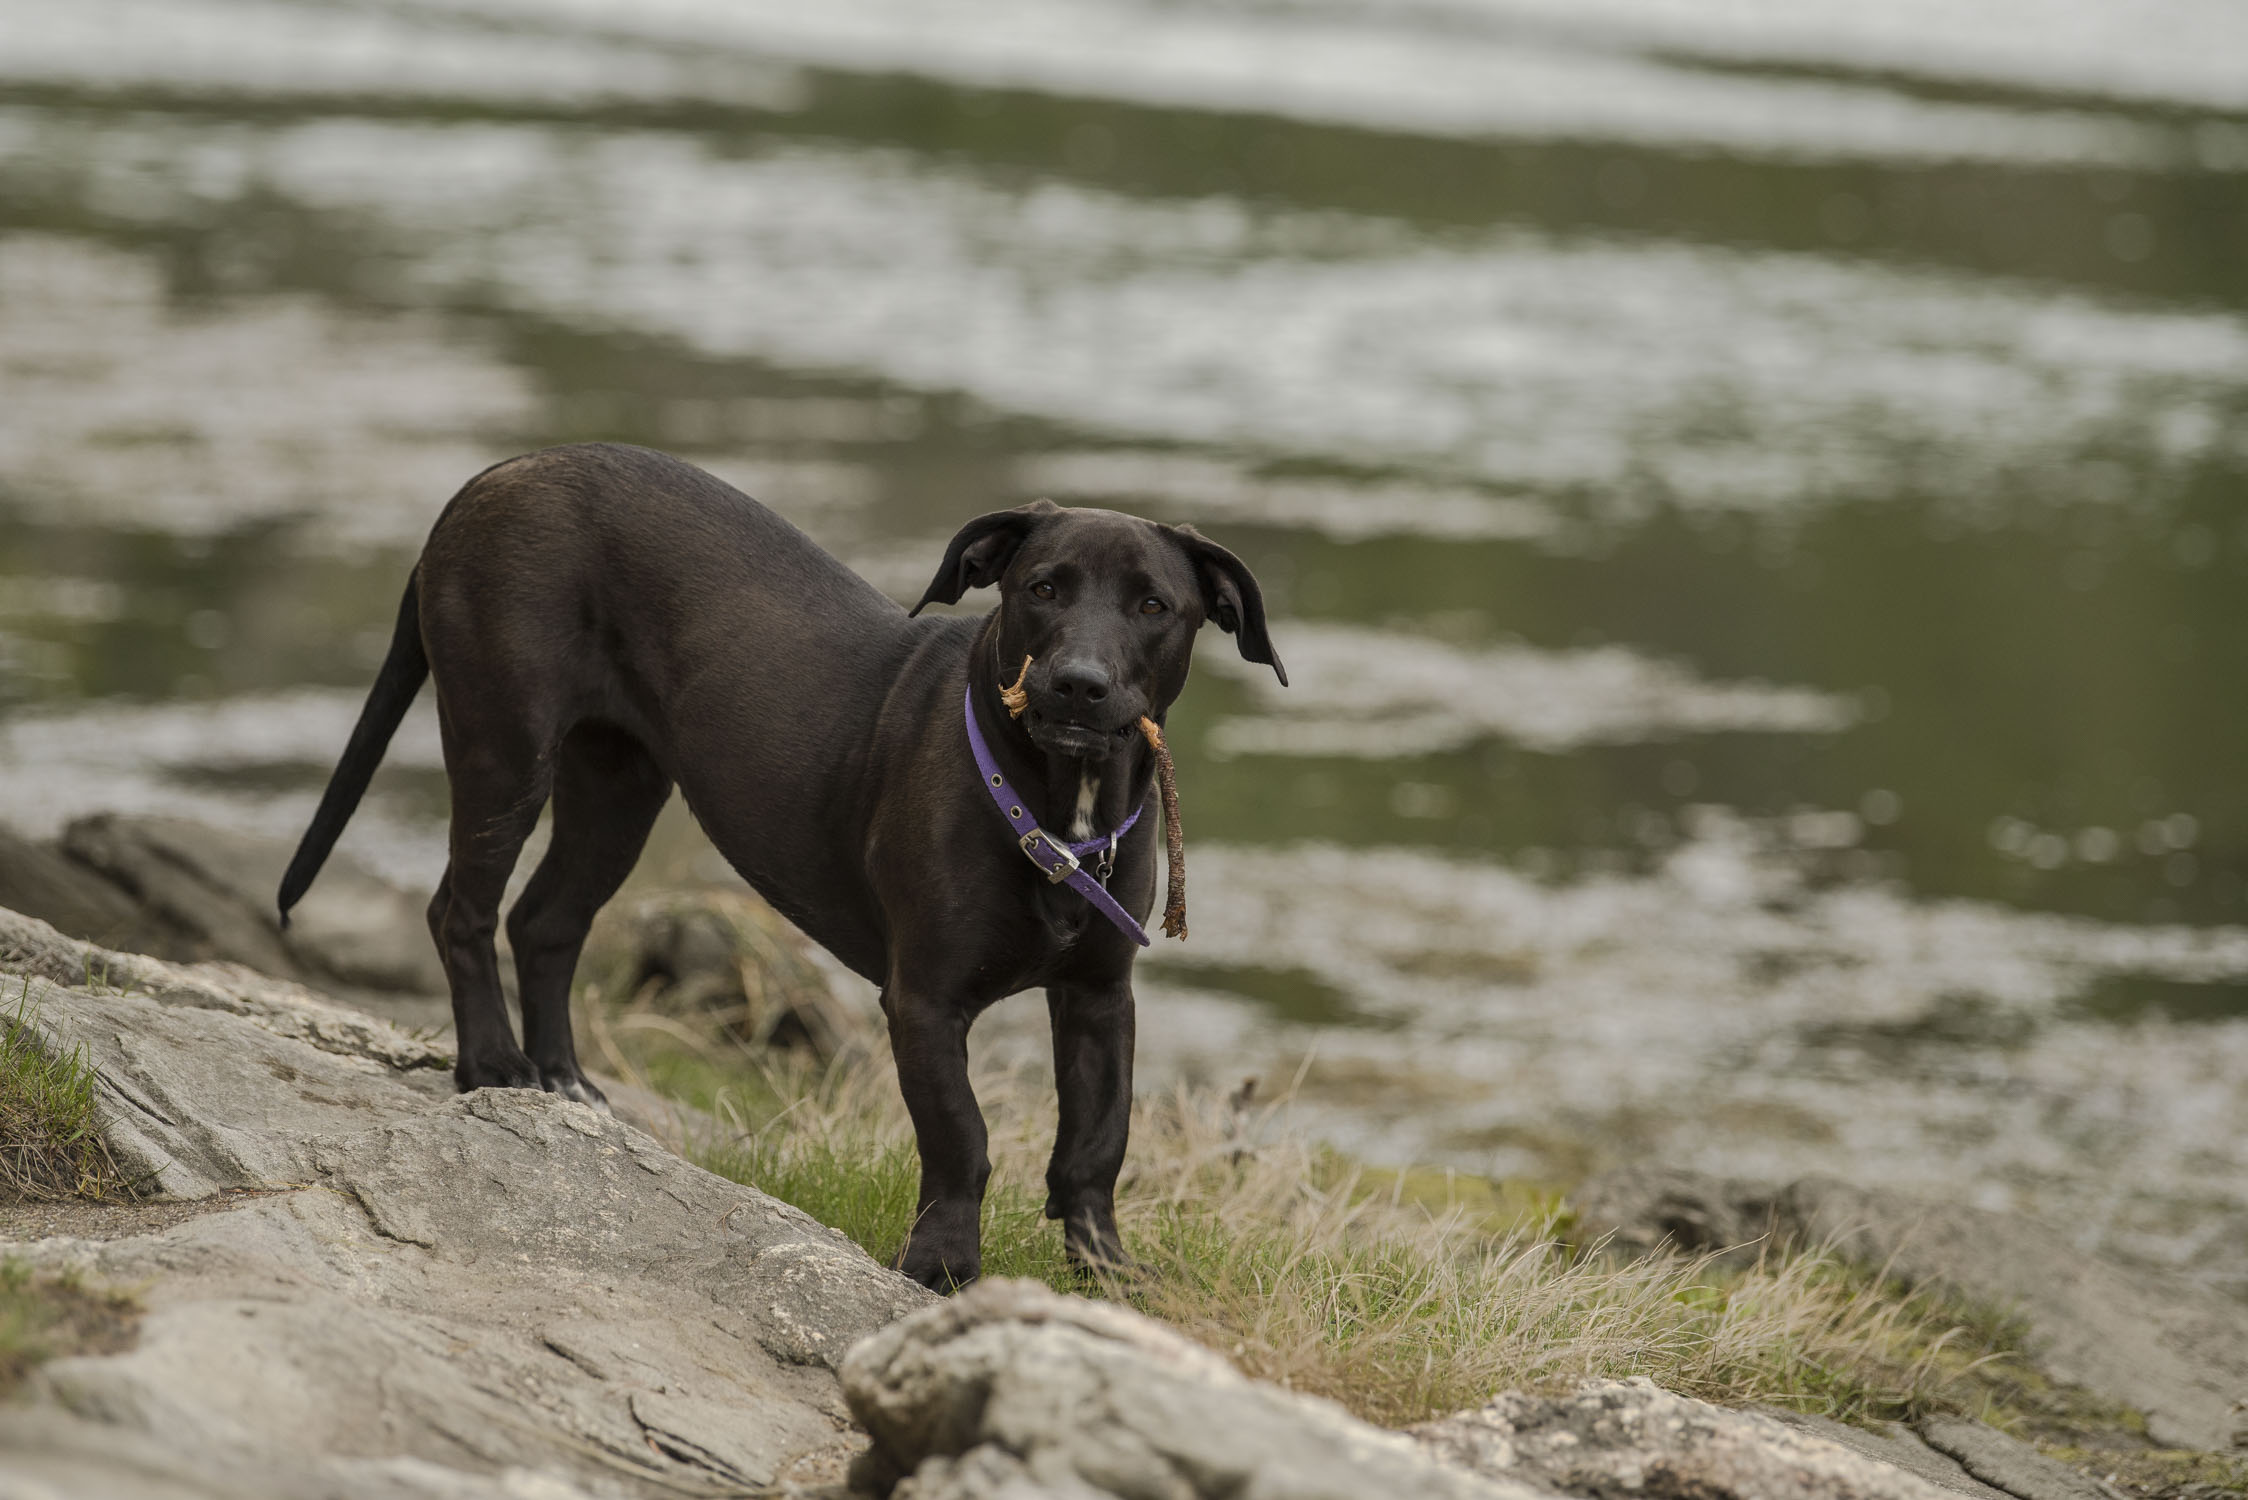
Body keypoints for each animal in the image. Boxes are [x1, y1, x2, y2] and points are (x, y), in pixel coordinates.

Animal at [285, 443, 1285, 1295]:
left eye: (1153, 607)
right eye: (1041, 588)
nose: (1076, 682)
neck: (1054, 808)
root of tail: (497, 474)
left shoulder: (1099, 996)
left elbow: (1094, 1140)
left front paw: (1108, 1274)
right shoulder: (923, 1000)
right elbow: (960, 1135)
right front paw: (941, 1267)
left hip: (617, 785)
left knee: (544, 921)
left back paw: (565, 1083)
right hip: (503, 744)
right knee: (461, 909)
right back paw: (493, 1065)